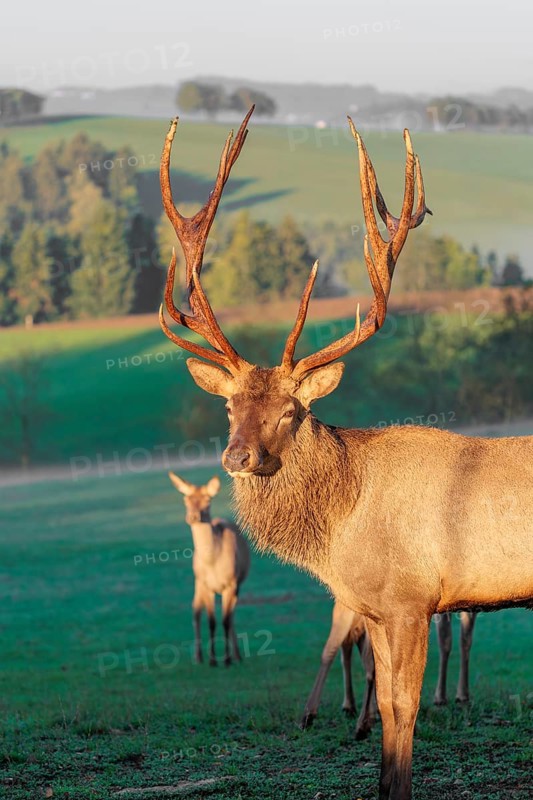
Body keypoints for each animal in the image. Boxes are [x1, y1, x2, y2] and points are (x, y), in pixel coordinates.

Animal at [168, 472, 250, 666]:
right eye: (186, 499)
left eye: (208, 500)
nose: (193, 517)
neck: (213, 563)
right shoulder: (206, 585)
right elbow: (211, 621)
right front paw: (213, 660)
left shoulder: (231, 583)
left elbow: (226, 620)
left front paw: (227, 659)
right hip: (197, 582)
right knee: (196, 611)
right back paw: (198, 657)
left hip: (236, 586)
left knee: (231, 615)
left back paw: (237, 655)